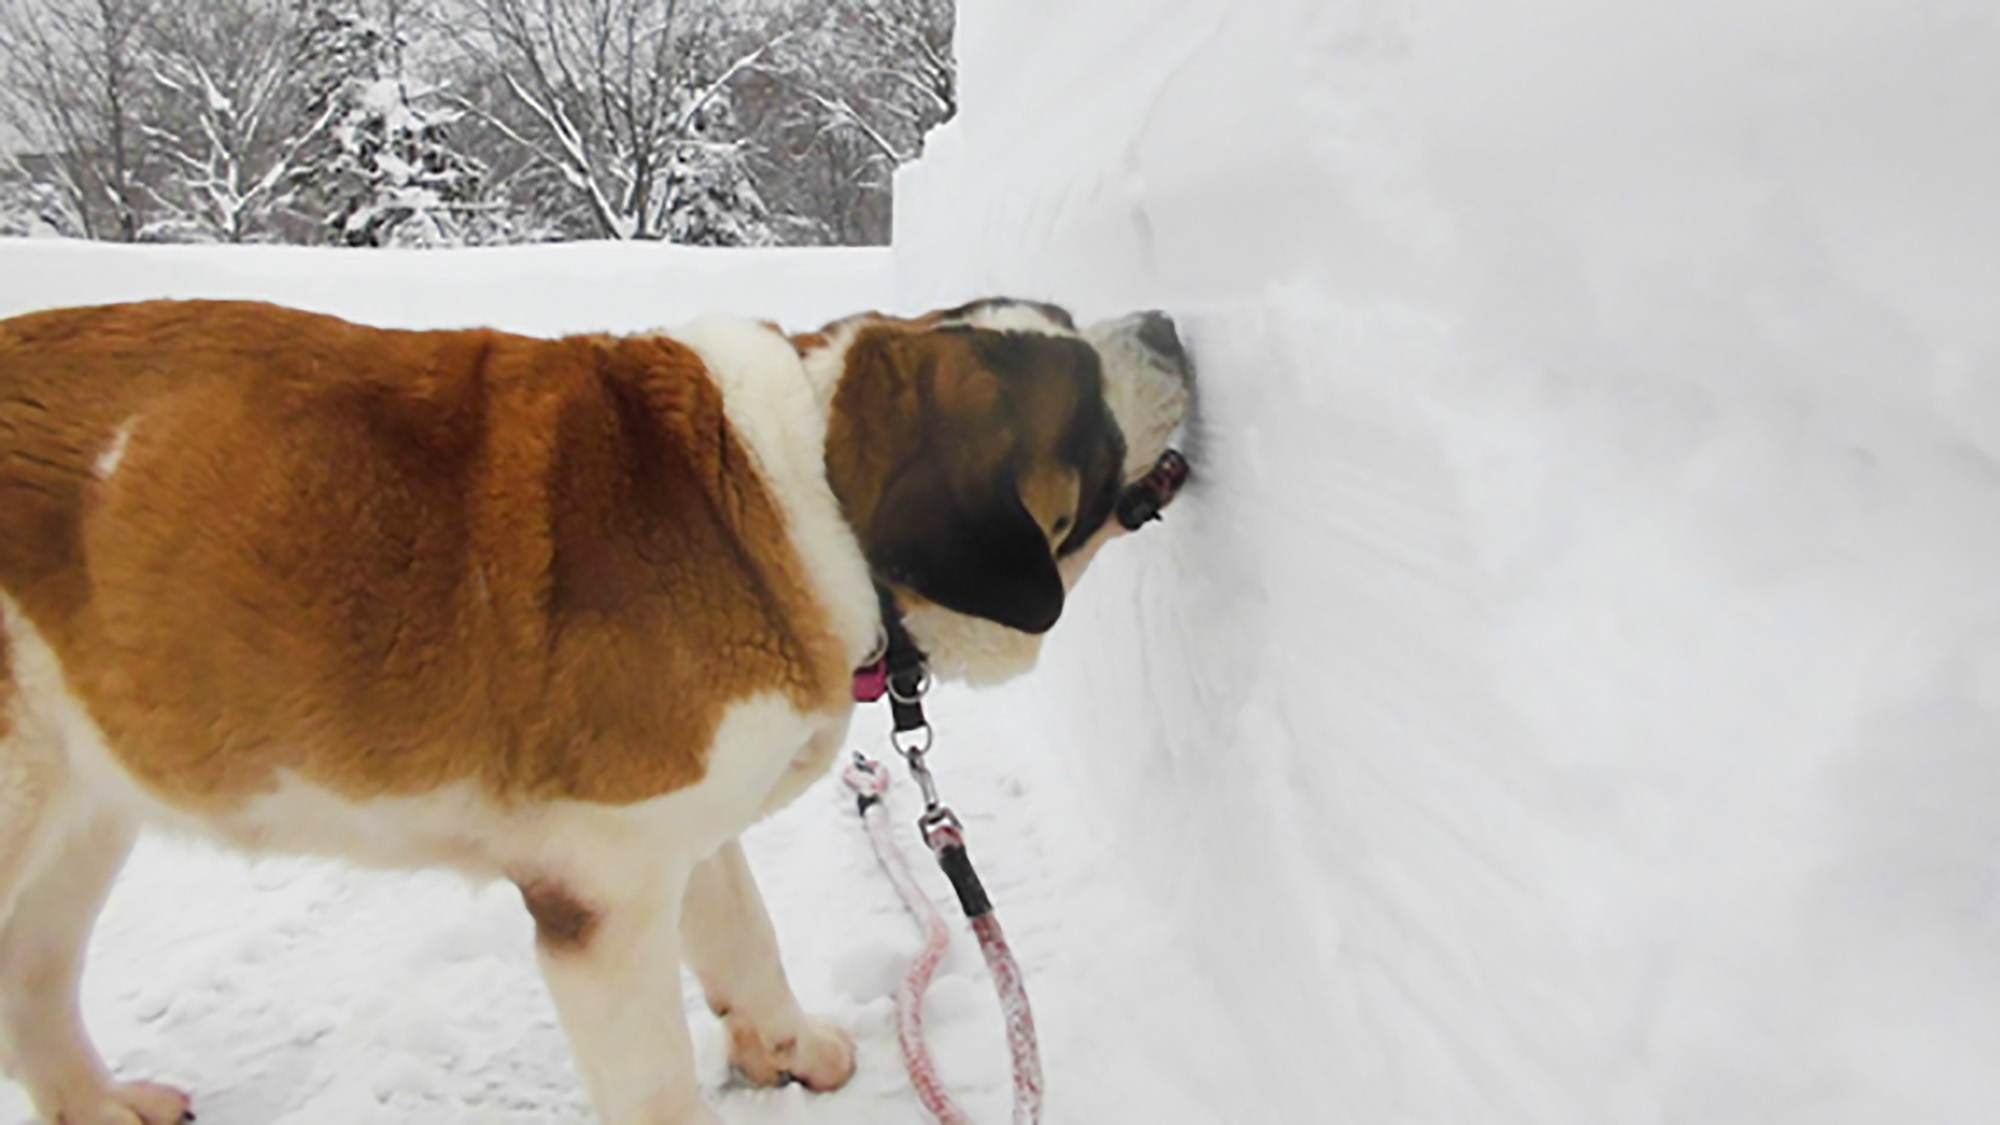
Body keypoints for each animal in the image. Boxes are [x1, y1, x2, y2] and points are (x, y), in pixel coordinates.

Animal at [0, 290, 1184, 1120]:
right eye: (1086, 401)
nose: (1166, 325)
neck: (803, 498)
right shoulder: (602, 887)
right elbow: (654, 1077)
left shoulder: (678, 824)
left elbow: (742, 929)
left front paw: (786, 1045)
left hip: (82, 812)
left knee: (34, 969)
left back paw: (99, 1104)